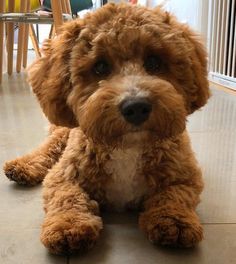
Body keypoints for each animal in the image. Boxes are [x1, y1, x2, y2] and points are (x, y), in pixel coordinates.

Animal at [3, 3, 209, 256]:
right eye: (100, 66)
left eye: (154, 62)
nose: (136, 107)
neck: (127, 147)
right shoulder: (64, 175)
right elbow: (66, 196)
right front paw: (68, 225)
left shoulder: (185, 175)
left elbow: (175, 195)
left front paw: (174, 220)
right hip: (63, 132)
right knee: (46, 149)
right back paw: (23, 166)